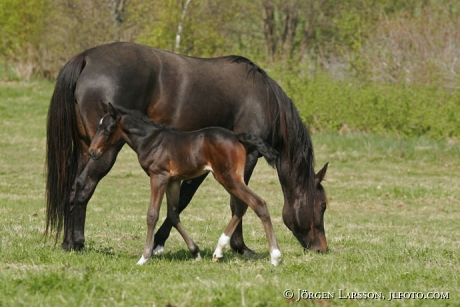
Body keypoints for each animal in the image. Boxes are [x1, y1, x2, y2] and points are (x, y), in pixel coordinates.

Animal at [86, 104, 280, 268]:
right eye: (99, 126)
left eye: (107, 129)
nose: (92, 152)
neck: (151, 140)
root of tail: (236, 136)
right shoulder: (173, 180)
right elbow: (173, 214)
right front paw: (195, 252)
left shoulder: (158, 177)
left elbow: (152, 215)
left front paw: (144, 257)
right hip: (225, 177)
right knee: (241, 205)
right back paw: (218, 250)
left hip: (229, 177)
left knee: (258, 203)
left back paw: (275, 256)